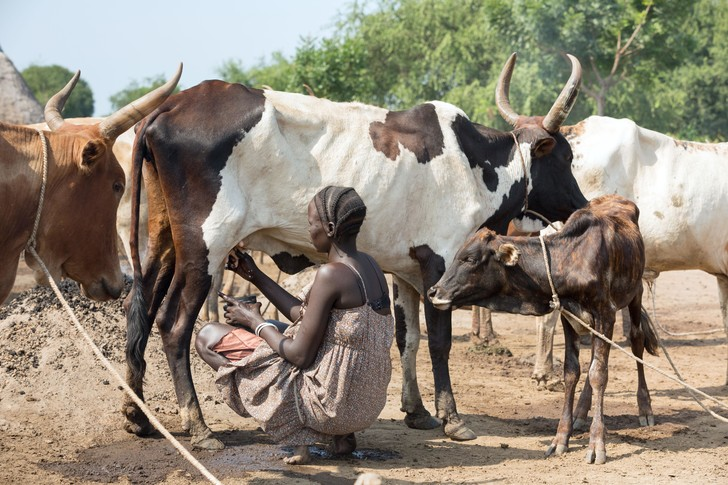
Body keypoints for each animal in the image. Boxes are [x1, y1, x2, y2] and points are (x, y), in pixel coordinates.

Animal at [123, 51, 584, 448]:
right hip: (205, 249)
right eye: (565, 157)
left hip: (166, 244)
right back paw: (199, 427)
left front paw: (417, 412)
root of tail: (169, 108)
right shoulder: (440, 263)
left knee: (139, 313)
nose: (581, 204)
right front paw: (452, 419)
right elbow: (439, 342)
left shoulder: (406, 270)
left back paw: (137, 415)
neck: (474, 163)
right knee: (173, 325)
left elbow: (408, 339)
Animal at [430, 195, 664, 464]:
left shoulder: (606, 314)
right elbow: (573, 372)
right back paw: (581, 413)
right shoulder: (568, 316)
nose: (434, 292)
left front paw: (597, 444)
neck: (571, 257)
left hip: (635, 294)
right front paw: (561, 438)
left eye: (469, 259)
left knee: (635, 341)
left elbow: (599, 374)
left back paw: (644, 407)